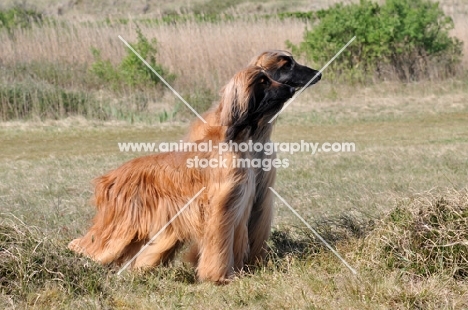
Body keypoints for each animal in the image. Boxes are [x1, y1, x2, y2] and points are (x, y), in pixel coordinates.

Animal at [68, 66, 296, 282]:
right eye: (263, 81)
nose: (291, 89)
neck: (233, 141)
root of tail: (110, 177)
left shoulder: (238, 210)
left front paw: (239, 273)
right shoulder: (220, 210)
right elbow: (219, 248)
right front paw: (219, 277)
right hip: (120, 226)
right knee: (87, 246)